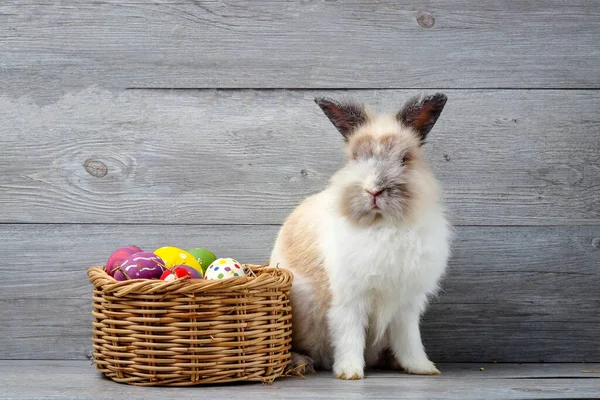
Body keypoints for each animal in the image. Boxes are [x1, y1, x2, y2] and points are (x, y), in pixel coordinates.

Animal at [270, 92, 450, 380]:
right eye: (355, 157)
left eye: (405, 158)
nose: (374, 190)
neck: (384, 225)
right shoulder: (349, 298)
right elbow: (349, 334)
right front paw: (350, 372)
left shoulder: (406, 305)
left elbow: (410, 340)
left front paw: (422, 368)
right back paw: (301, 363)